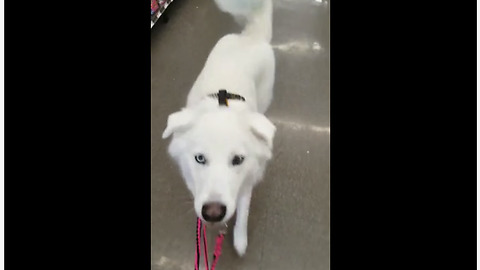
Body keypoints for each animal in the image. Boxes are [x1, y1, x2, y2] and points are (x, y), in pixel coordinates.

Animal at [161, 0, 274, 256]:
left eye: (238, 160)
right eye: (200, 158)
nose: (213, 213)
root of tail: (249, 37)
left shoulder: (246, 182)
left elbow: (242, 213)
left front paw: (240, 240)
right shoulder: (192, 177)